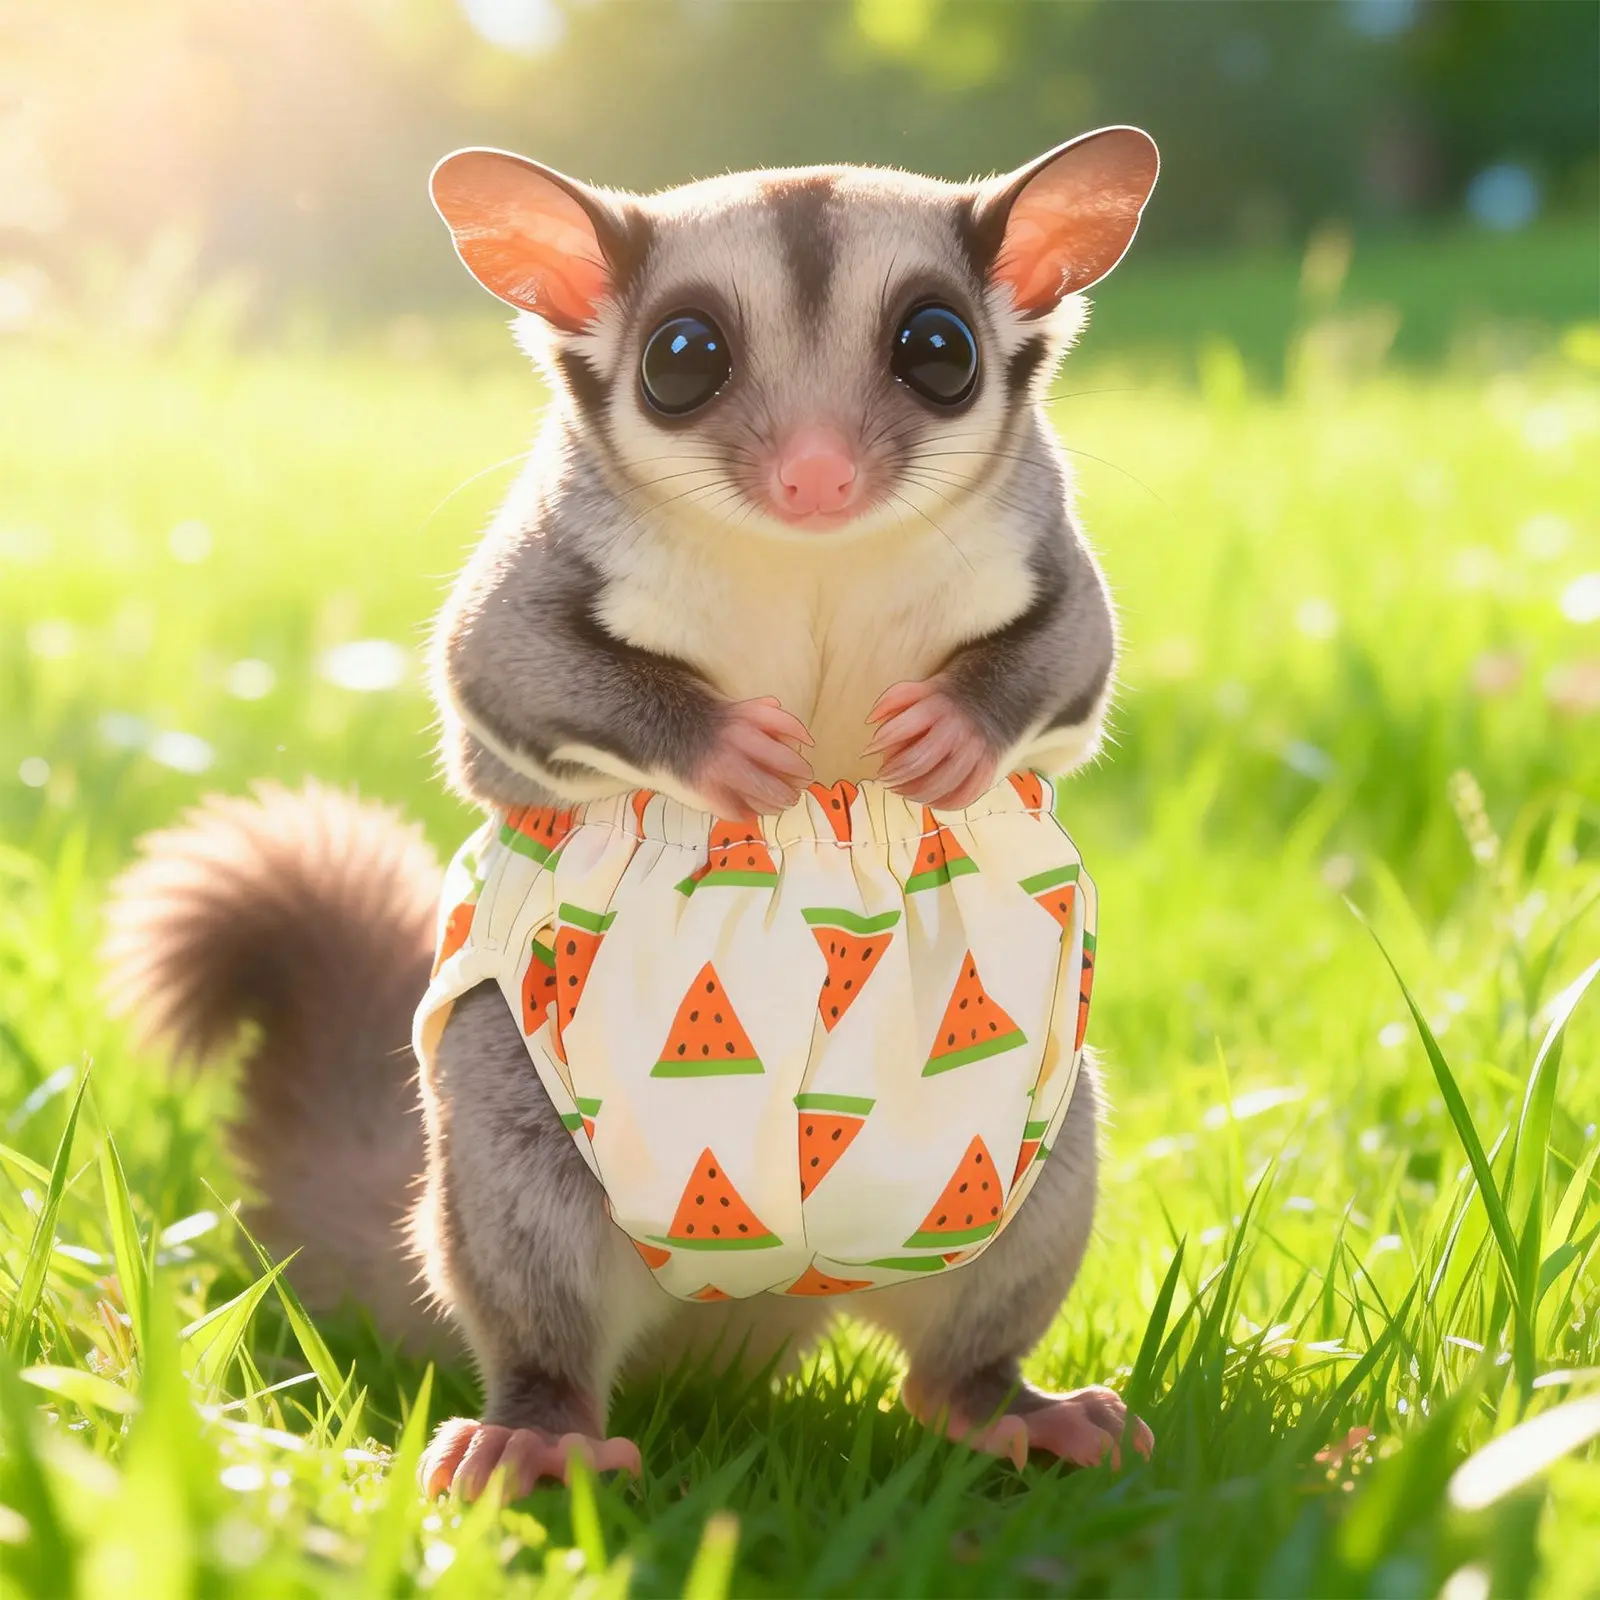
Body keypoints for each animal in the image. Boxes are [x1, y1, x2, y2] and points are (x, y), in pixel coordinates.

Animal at [104, 127, 1158, 1499]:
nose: (815, 477)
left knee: (961, 1341)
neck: (811, 558)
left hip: (1013, 1149)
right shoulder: (539, 571)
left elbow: (1075, 650)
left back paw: (1013, 1410)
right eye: (682, 358)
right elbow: (498, 666)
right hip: (520, 1127)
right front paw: (728, 752)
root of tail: (759, 1301)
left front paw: (950, 736)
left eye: (938, 349)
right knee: (533, 1278)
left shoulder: (1047, 555)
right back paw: (535, 1431)